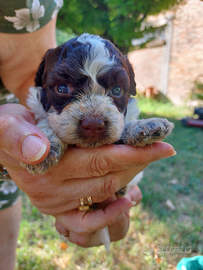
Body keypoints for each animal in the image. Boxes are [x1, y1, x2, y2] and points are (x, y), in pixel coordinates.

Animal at [23, 33, 174, 251]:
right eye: (62, 88)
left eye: (117, 90)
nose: (93, 124)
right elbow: (44, 122)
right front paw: (48, 144)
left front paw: (145, 127)